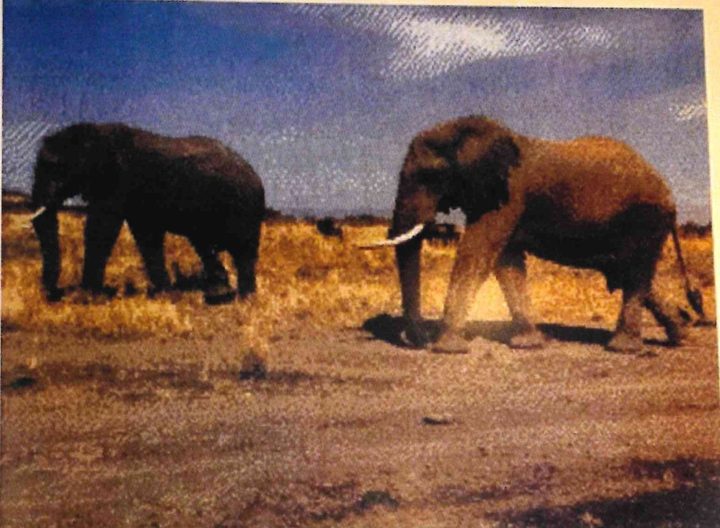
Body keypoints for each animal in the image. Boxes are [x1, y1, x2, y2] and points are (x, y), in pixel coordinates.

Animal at [30, 122, 265, 304]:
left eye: (56, 167)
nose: (52, 294)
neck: (94, 132)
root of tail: (253, 171)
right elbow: (146, 237)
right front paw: (165, 294)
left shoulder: (118, 182)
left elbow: (101, 229)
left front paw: (85, 296)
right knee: (205, 245)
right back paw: (219, 293)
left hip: (245, 207)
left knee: (243, 251)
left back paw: (243, 298)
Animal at [363, 115, 706, 354]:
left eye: (429, 176)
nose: (416, 339)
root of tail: (668, 192)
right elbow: (507, 263)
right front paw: (528, 344)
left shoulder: (510, 193)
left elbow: (478, 252)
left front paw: (447, 349)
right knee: (630, 272)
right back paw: (680, 336)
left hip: (646, 218)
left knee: (635, 273)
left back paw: (624, 348)